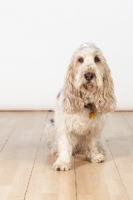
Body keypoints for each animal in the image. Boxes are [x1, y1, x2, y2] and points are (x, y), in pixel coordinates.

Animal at [45, 43, 116, 171]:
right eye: (80, 60)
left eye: (97, 59)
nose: (89, 75)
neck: (86, 103)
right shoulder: (64, 126)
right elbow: (64, 144)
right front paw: (62, 162)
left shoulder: (95, 128)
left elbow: (92, 143)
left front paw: (94, 156)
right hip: (49, 126)